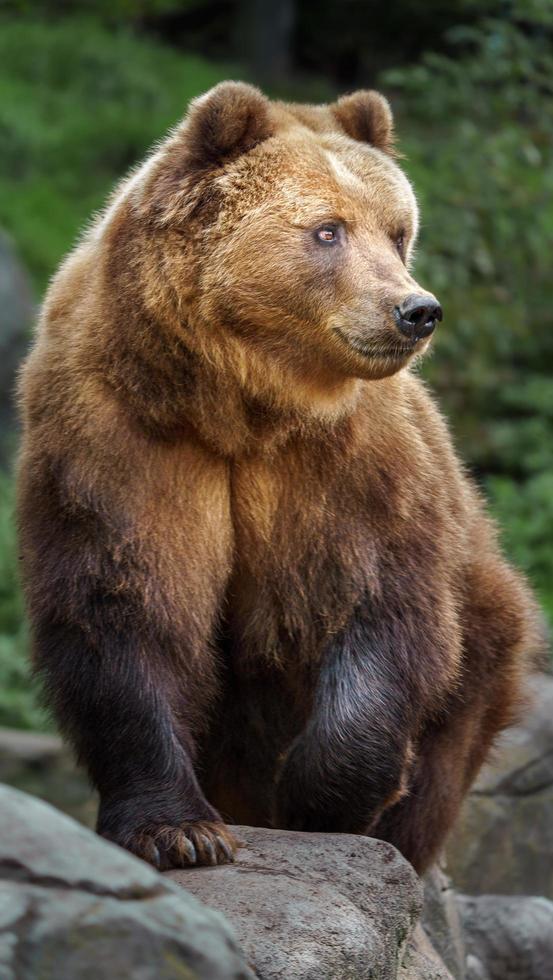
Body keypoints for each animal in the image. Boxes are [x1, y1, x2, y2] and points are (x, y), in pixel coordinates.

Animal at [16, 78, 540, 872]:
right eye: (327, 230)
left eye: (396, 231)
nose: (415, 310)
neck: (239, 405)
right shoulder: (119, 435)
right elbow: (123, 604)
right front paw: (182, 831)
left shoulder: (348, 463)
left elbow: (379, 601)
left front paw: (324, 803)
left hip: (483, 636)